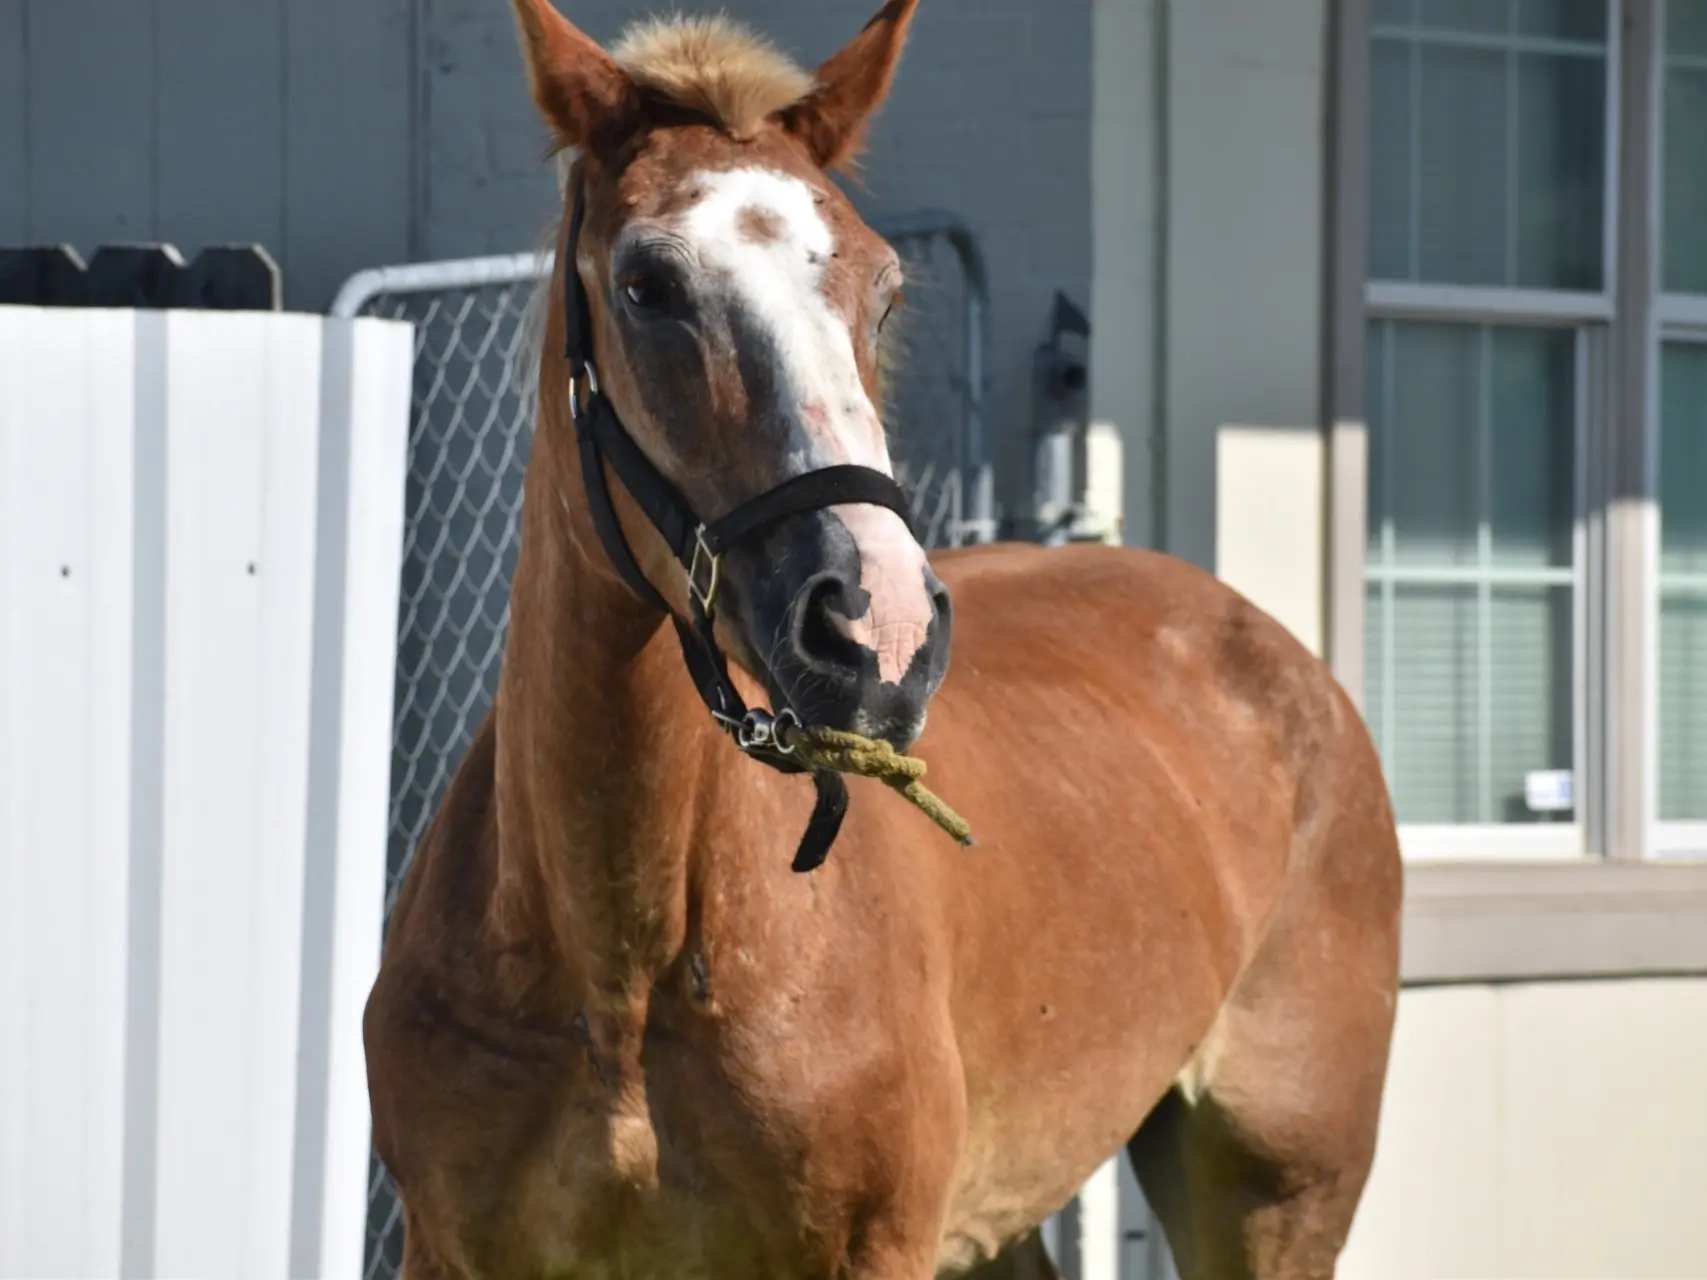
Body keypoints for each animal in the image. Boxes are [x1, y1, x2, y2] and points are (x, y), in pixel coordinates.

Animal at [363, 2, 1399, 1280]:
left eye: (887, 290)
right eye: (648, 284)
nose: (878, 626)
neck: (619, 969)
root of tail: (1288, 663)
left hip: (1271, 1193)